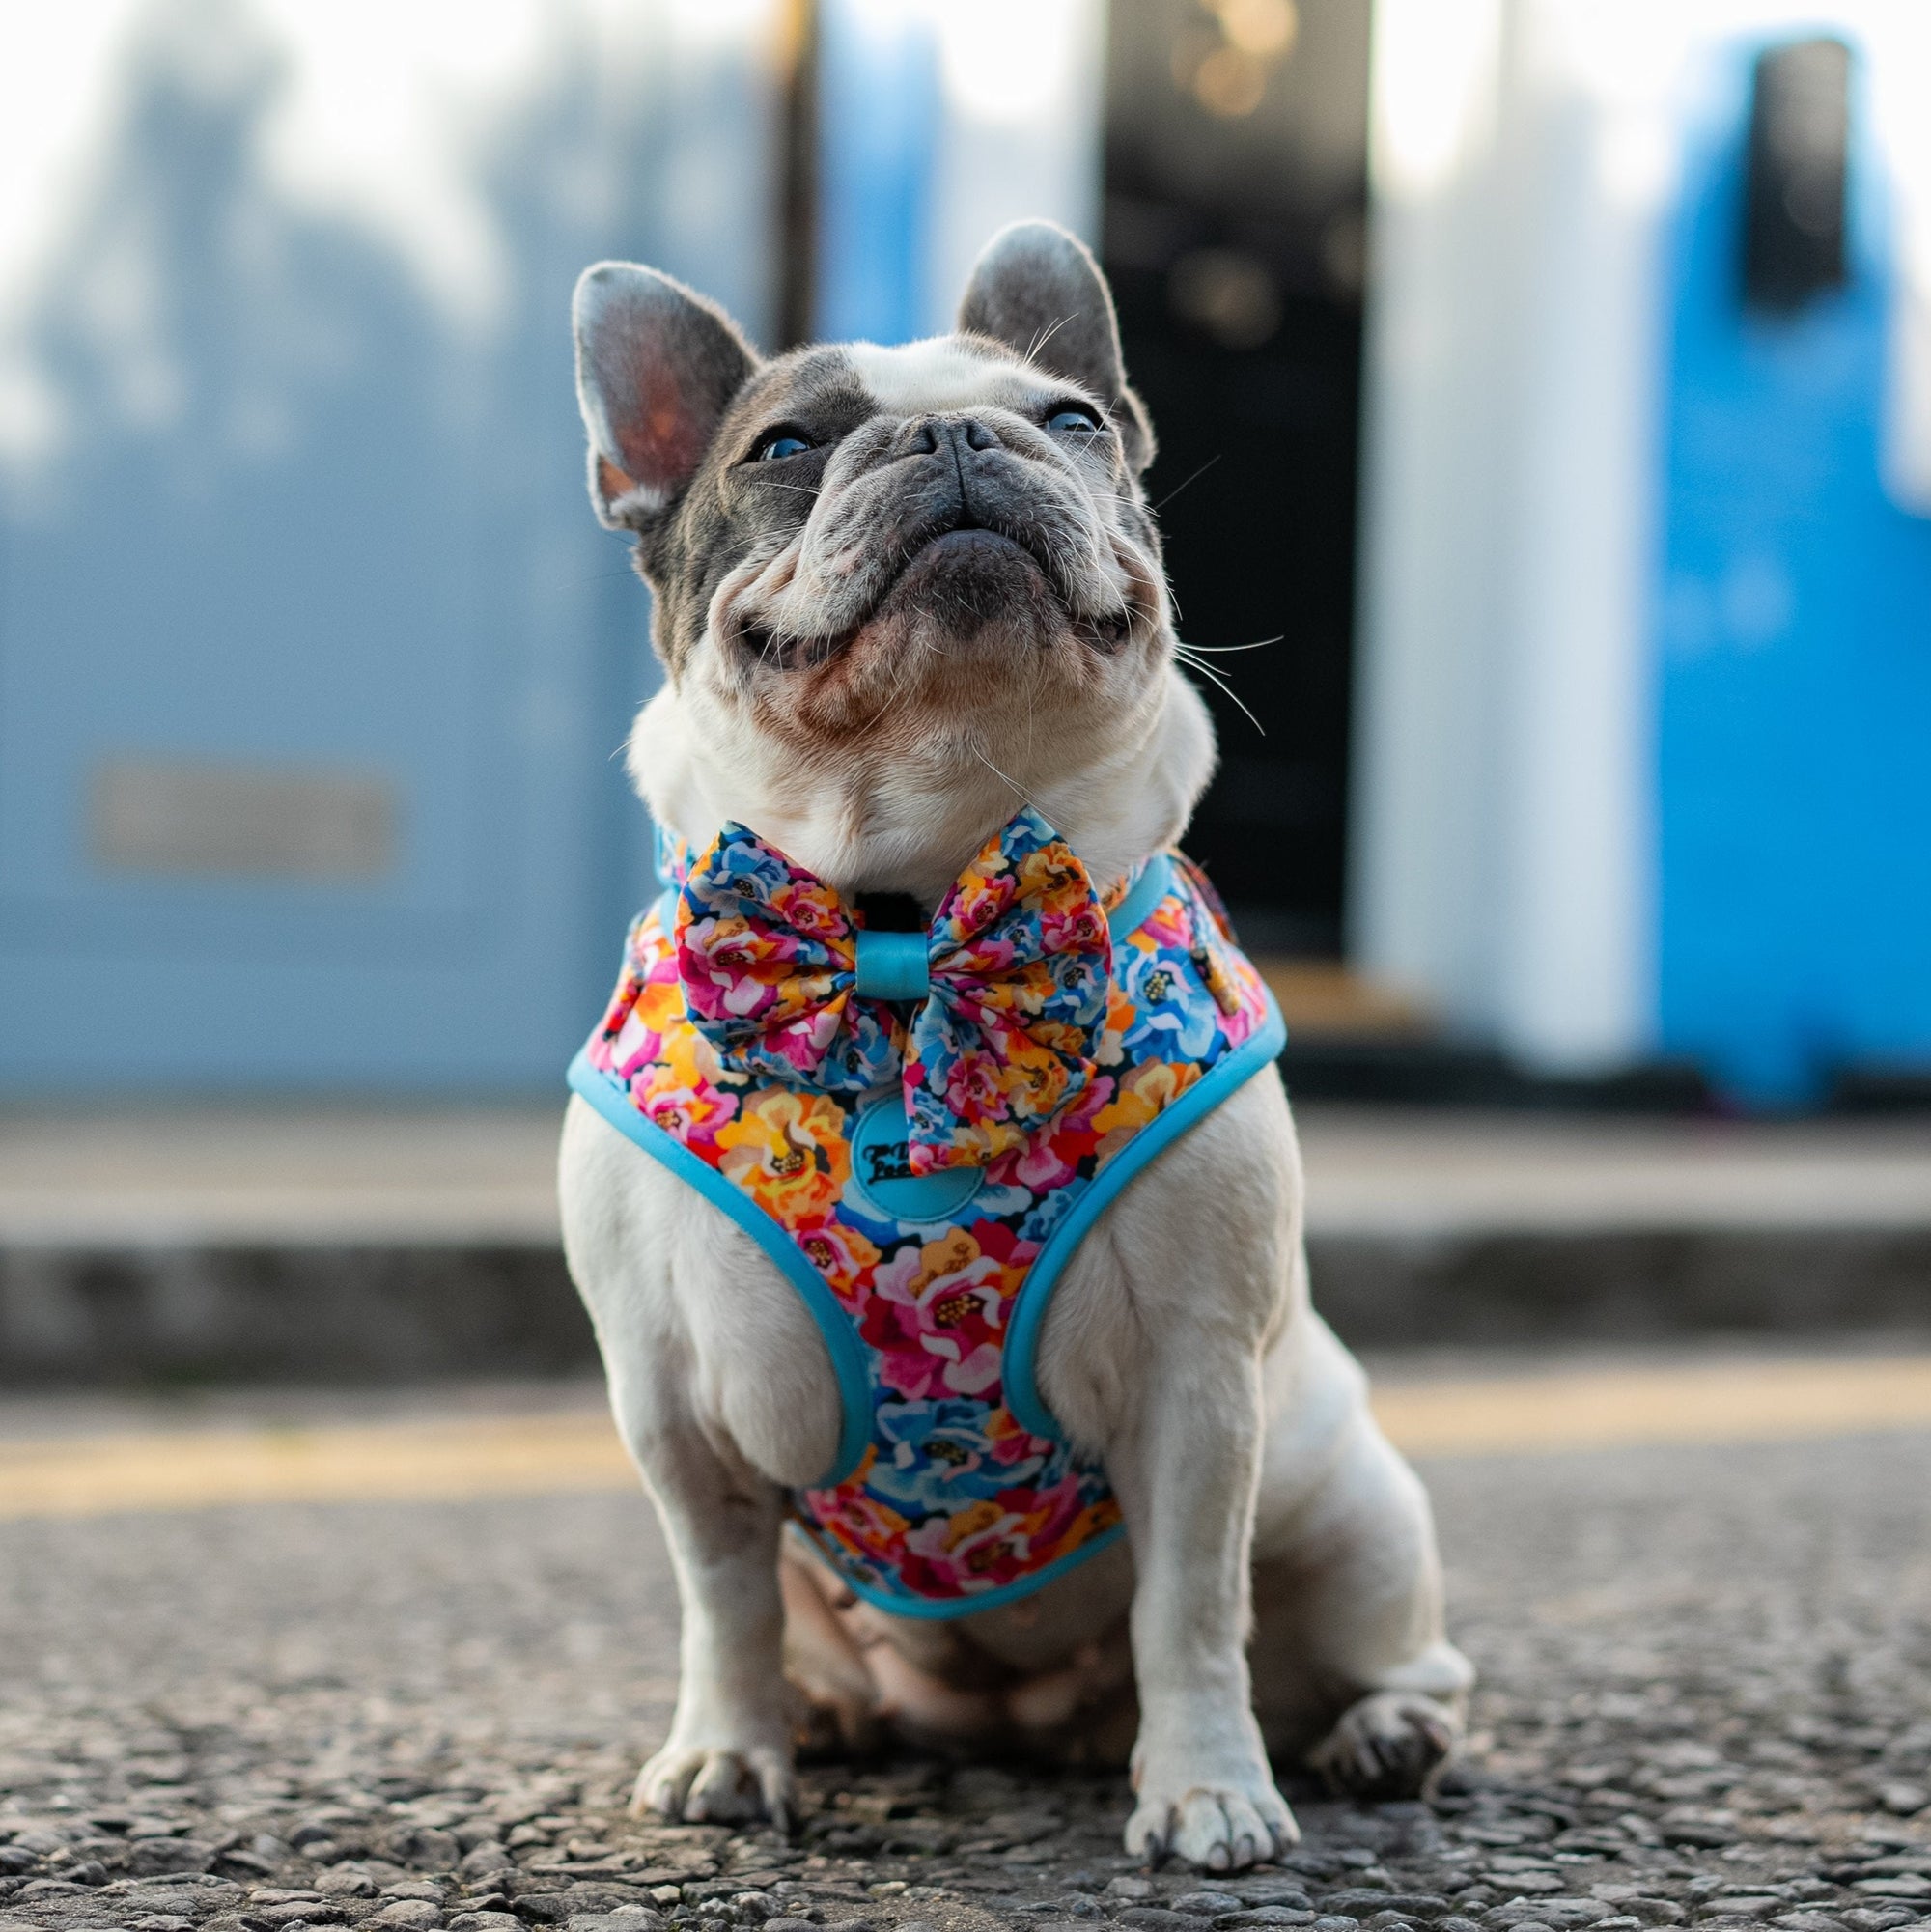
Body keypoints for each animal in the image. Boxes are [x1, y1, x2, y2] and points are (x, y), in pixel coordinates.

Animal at [560, 222, 1475, 1869]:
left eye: (1071, 419)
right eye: (786, 445)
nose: (957, 435)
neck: (910, 920)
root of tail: (1028, 1720)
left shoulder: (1199, 1389)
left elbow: (1193, 1607)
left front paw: (1208, 1791)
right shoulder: (674, 1406)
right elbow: (721, 1600)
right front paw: (728, 1751)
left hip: (1349, 1502)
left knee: (1379, 1643)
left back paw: (1382, 1734)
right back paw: (831, 1715)